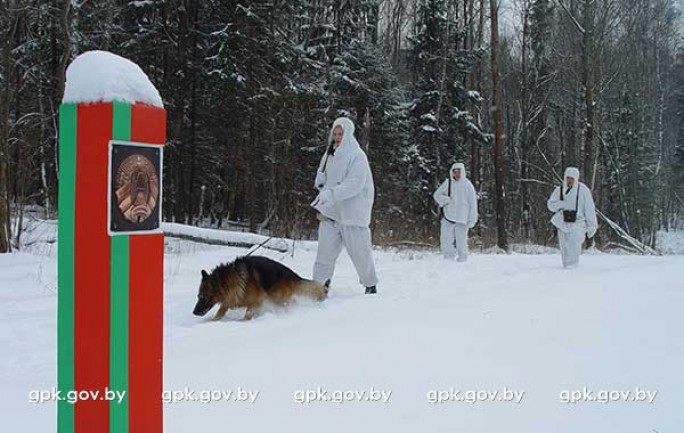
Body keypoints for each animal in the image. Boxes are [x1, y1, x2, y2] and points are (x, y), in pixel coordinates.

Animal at [194, 255, 330, 318]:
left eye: (203, 297)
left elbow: (248, 314)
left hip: (277, 298)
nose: (194, 313)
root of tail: (294, 276)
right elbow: (220, 311)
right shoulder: (231, 299)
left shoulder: (256, 301)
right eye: (198, 296)